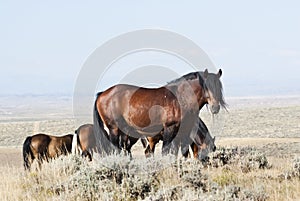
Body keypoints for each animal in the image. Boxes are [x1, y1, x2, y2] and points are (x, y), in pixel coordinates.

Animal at [94, 69, 225, 155]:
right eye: (206, 87)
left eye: (218, 87)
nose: (215, 107)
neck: (180, 97)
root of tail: (102, 94)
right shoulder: (169, 129)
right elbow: (166, 152)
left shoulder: (182, 134)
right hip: (114, 129)